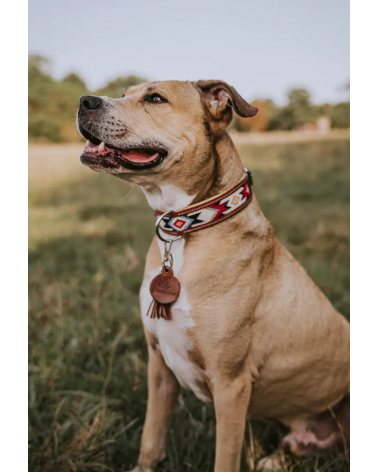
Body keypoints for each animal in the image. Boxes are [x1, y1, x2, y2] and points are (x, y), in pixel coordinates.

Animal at [77, 79, 352, 470]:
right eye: (125, 92)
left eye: (155, 98)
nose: (85, 101)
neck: (186, 228)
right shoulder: (159, 366)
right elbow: (151, 437)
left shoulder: (230, 384)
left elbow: (225, 456)